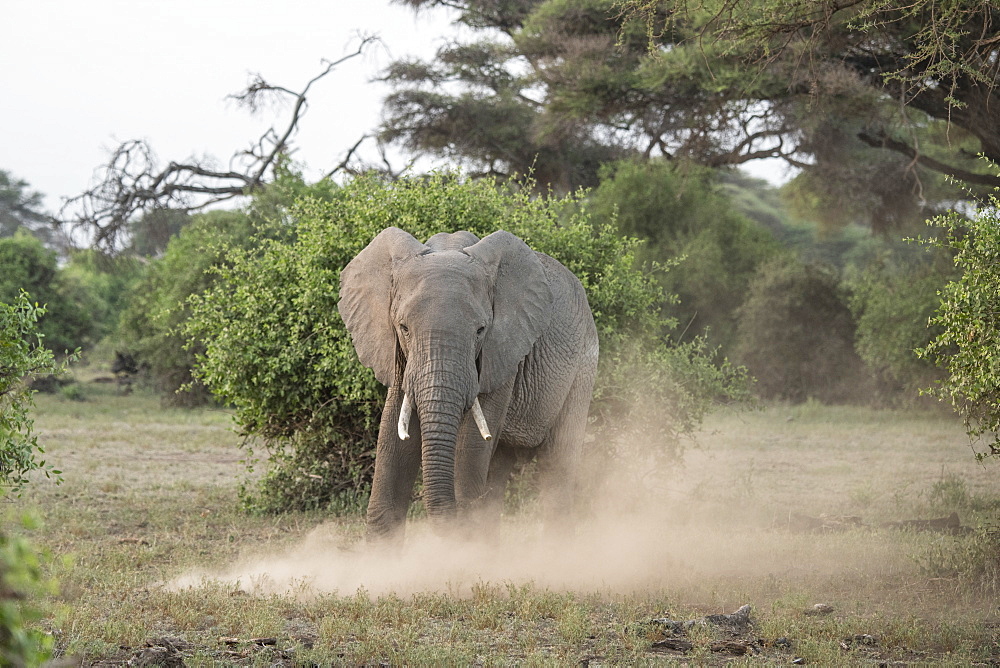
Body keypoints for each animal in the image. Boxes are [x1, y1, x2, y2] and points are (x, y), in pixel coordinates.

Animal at [340, 228, 596, 544]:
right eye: (404, 328)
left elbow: (470, 445)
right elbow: (393, 438)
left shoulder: (502, 351)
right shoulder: (396, 353)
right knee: (498, 469)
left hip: (583, 366)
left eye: (480, 330)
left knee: (557, 464)